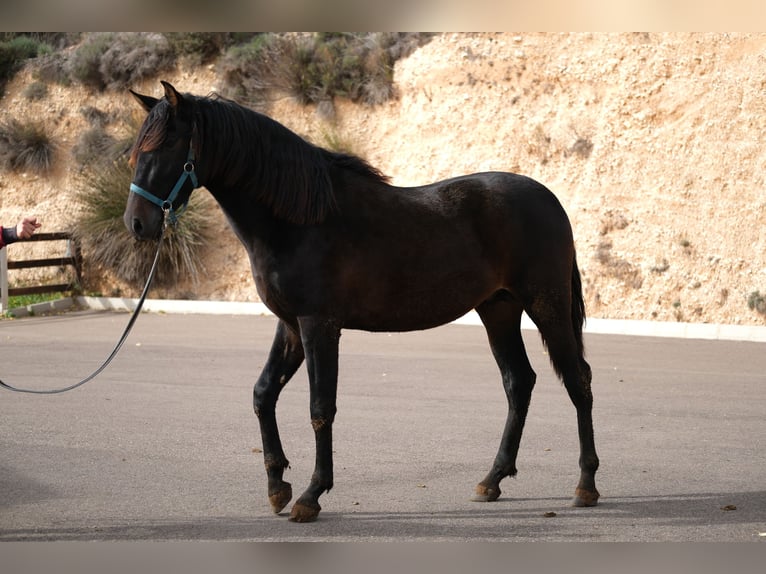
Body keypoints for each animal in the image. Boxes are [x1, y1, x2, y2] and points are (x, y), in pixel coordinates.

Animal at [123, 81, 600, 528]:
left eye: (167, 145)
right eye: (136, 150)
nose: (137, 224)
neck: (297, 222)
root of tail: (549, 199)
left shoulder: (319, 325)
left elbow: (320, 408)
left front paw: (311, 495)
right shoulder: (290, 326)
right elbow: (263, 393)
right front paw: (277, 486)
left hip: (546, 305)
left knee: (578, 381)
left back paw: (586, 485)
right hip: (498, 310)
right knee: (519, 382)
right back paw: (492, 480)